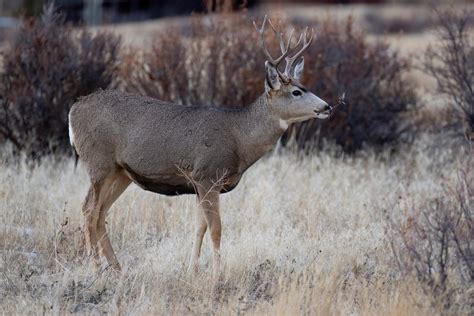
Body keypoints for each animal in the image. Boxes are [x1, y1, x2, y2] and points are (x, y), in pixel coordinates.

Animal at [68, 15, 336, 276]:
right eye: (296, 92)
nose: (327, 107)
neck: (239, 137)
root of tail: (73, 109)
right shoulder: (208, 175)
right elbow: (216, 228)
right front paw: (218, 275)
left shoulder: (197, 184)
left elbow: (200, 227)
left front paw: (191, 270)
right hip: (98, 162)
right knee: (88, 210)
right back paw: (95, 268)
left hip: (121, 172)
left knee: (101, 213)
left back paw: (117, 268)